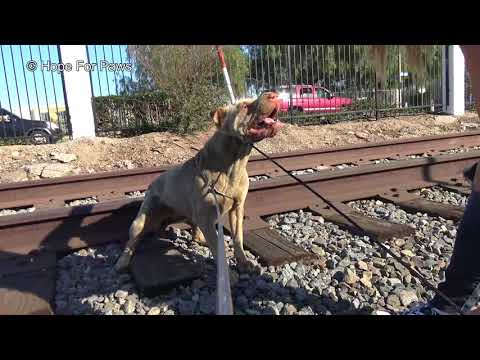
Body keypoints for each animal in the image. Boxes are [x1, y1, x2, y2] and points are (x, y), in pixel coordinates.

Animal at [114, 92, 284, 272]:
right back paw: (122, 261)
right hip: (141, 219)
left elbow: (238, 238)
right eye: (244, 106)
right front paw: (229, 274)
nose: (273, 94)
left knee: (195, 230)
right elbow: (218, 250)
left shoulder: (237, 209)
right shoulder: (206, 218)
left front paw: (243, 262)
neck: (233, 163)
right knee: (132, 241)